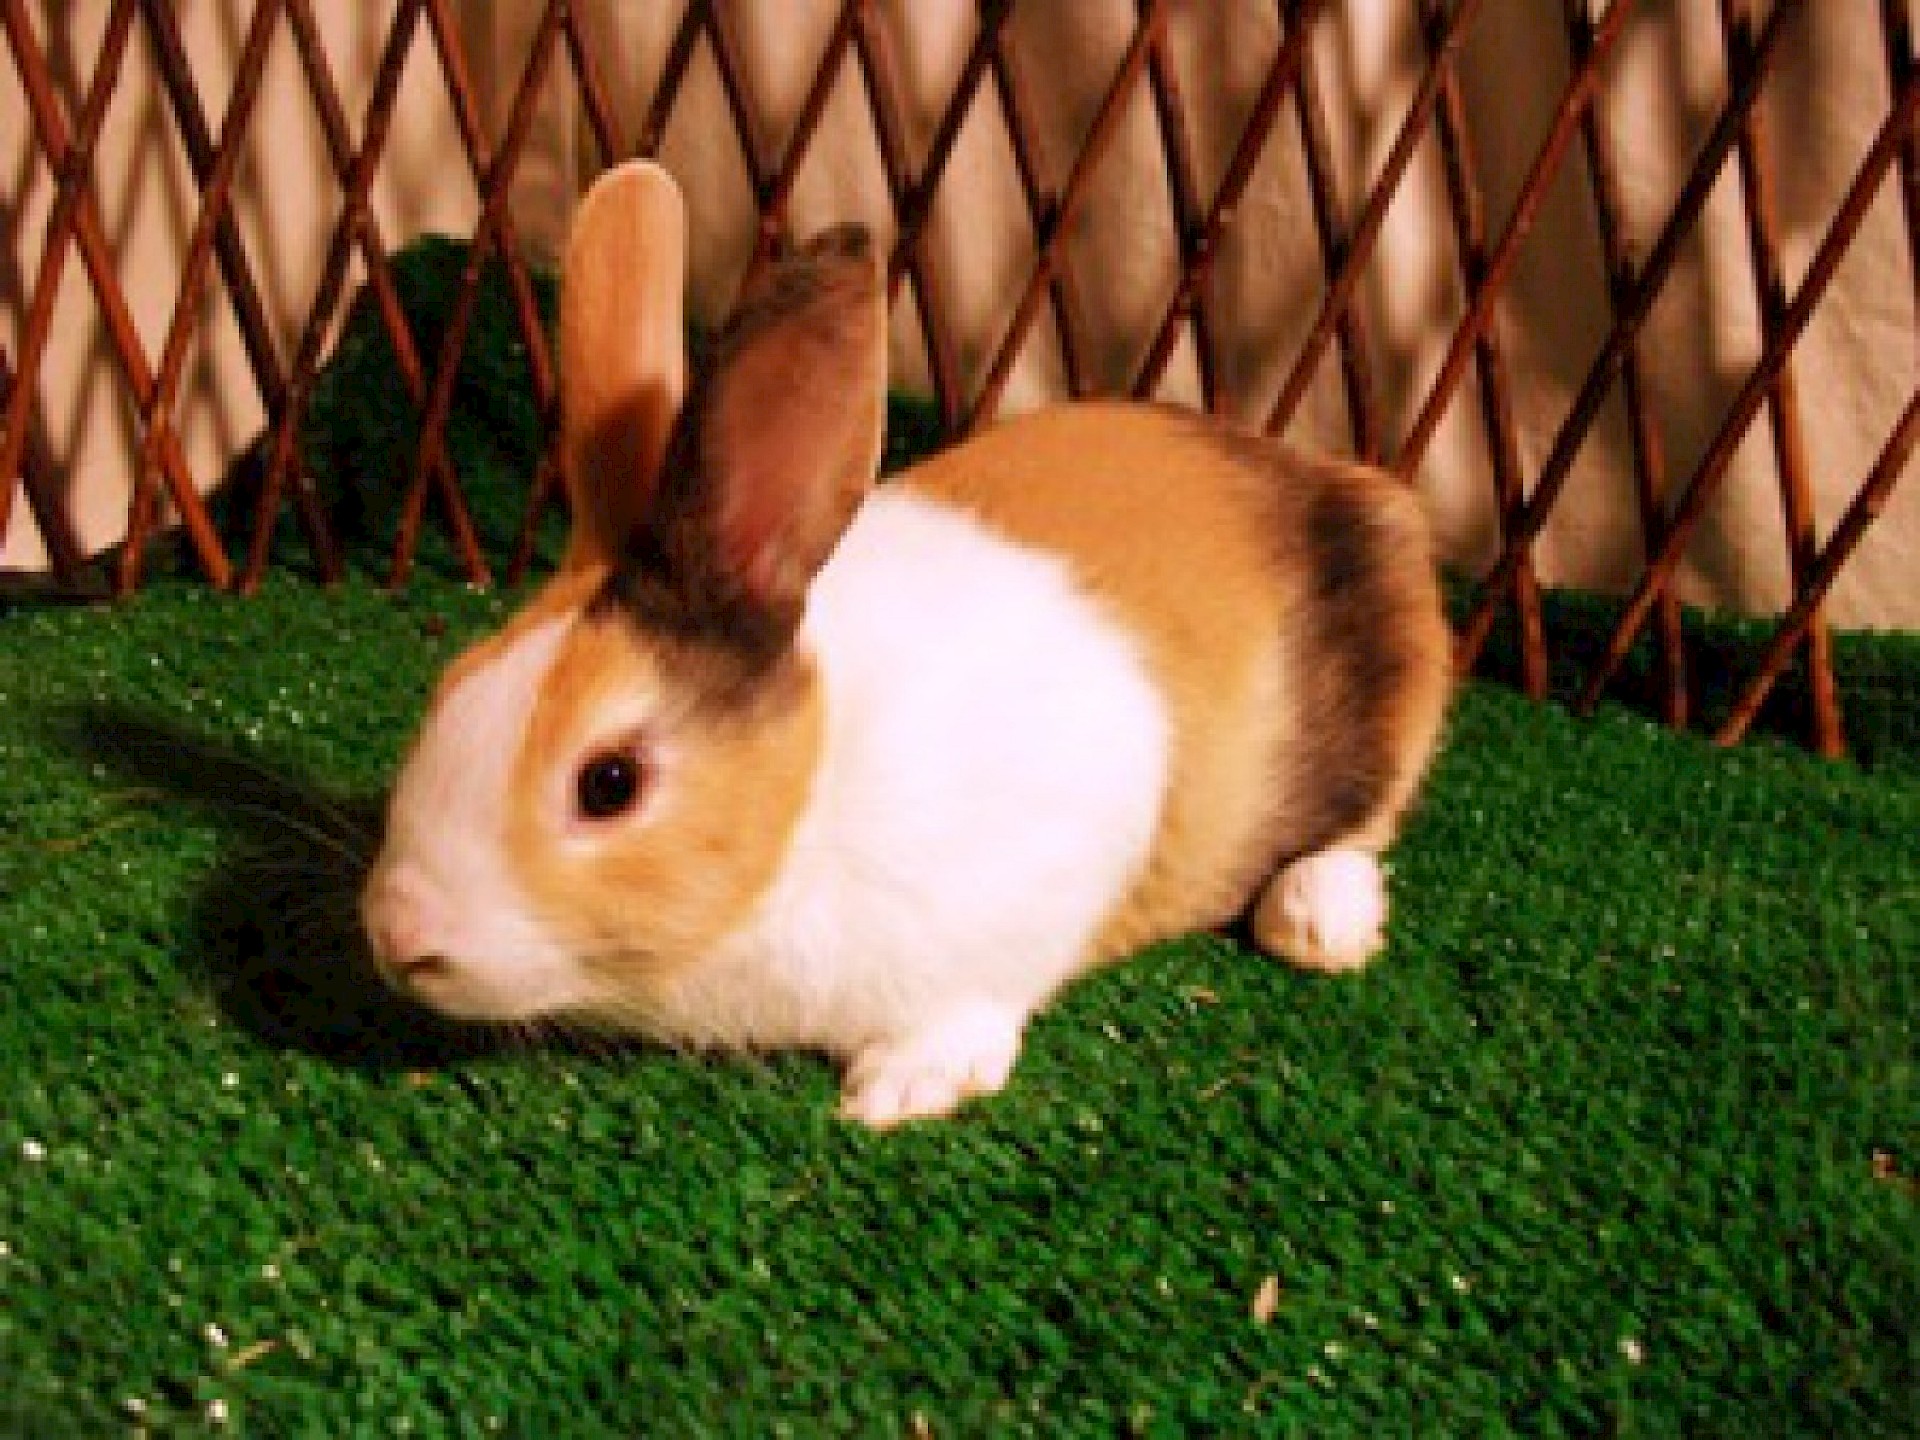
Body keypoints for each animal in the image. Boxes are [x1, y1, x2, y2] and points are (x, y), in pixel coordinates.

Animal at [361, 160, 1453, 1129]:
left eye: (610, 784)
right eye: (449, 687)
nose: (398, 931)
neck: (810, 800)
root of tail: (1338, 480)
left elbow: (978, 996)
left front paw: (902, 1087)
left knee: (1363, 824)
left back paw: (1318, 923)